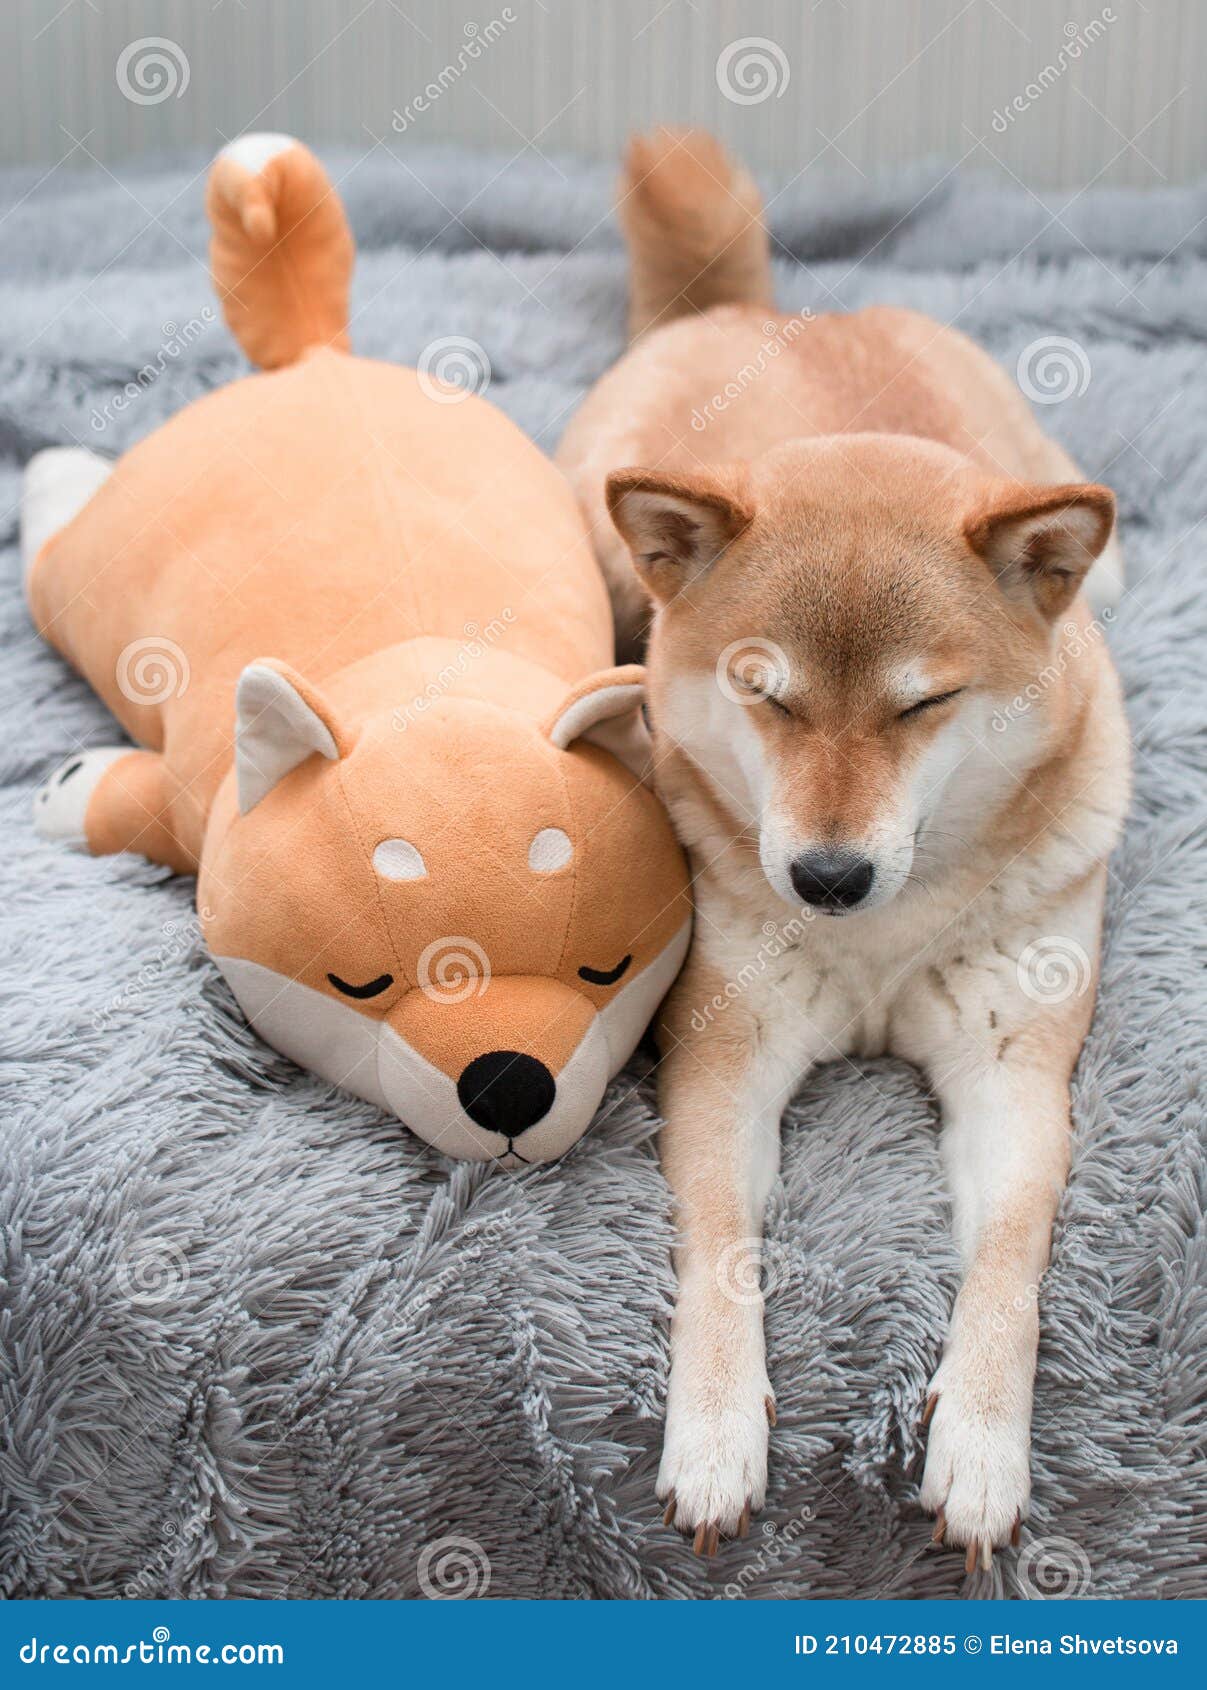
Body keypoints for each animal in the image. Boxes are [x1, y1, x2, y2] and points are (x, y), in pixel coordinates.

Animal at [557, 131, 1129, 1568]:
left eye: (923, 705)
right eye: (763, 693)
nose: (824, 878)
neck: (884, 936)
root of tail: (768, 309)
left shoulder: (1015, 1080)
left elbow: (1010, 1263)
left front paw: (979, 1441)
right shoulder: (723, 1058)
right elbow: (718, 1245)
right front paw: (711, 1430)